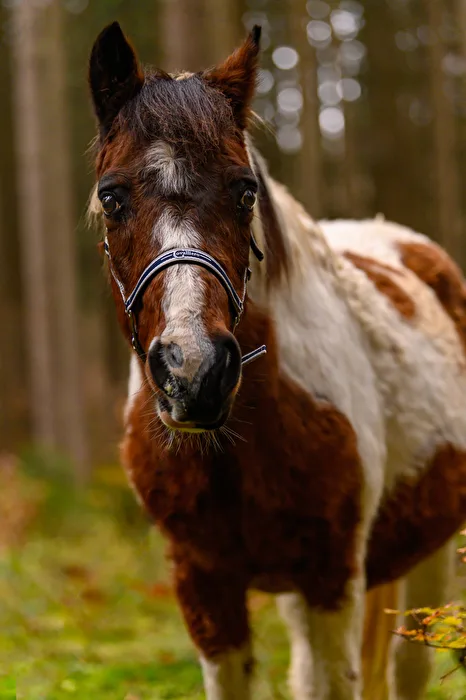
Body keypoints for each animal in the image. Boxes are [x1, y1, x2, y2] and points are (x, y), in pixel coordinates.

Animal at [88, 22, 465, 700]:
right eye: (112, 197)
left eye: (245, 191)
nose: (194, 373)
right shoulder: (205, 585)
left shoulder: (330, 576)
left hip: (433, 553)